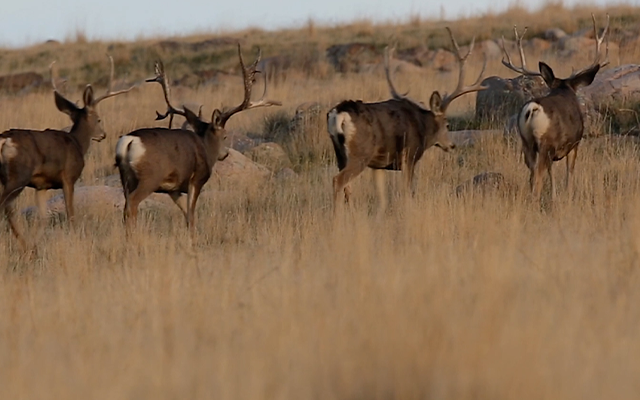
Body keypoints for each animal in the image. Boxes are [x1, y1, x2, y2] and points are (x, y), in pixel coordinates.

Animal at [0, 56, 135, 247]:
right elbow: (71, 212)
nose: (103, 135)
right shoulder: (69, 177)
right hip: (19, 175)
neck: (77, 143)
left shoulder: (41, 185)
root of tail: (5, 140)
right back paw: (23, 244)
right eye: (99, 119)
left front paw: (38, 243)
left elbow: (43, 218)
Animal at [115, 44, 281, 236]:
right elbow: (192, 215)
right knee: (132, 204)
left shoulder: (174, 189)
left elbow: (187, 214)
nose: (225, 154)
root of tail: (129, 142)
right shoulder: (197, 179)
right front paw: (193, 237)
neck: (205, 147)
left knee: (126, 205)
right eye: (225, 135)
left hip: (126, 177)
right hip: (150, 177)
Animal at [327, 27, 487, 213]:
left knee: (347, 187)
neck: (422, 126)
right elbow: (407, 191)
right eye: (447, 124)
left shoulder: (379, 165)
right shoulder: (409, 155)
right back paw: (337, 216)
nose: (452, 145)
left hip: (340, 154)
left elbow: (382, 198)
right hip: (360, 153)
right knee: (338, 181)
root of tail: (339, 113)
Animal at [500, 14, 609, 202]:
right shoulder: (574, 143)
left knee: (532, 173)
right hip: (545, 142)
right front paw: (568, 194)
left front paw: (554, 195)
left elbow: (552, 173)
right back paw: (535, 201)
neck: (564, 89)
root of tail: (532, 108)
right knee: (538, 175)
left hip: (526, 142)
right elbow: (569, 171)